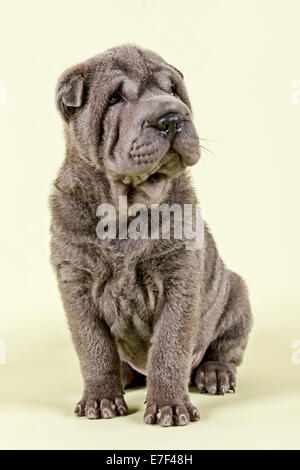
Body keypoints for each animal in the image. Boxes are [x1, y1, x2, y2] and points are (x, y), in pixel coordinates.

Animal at [50, 44, 252, 426]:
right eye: (115, 98)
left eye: (173, 90)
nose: (171, 118)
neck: (125, 209)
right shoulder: (76, 282)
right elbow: (94, 347)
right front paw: (101, 398)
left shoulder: (179, 278)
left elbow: (169, 347)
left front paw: (169, 406)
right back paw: (124, 376)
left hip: (236, 293)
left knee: (224, 349)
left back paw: (214, 374)